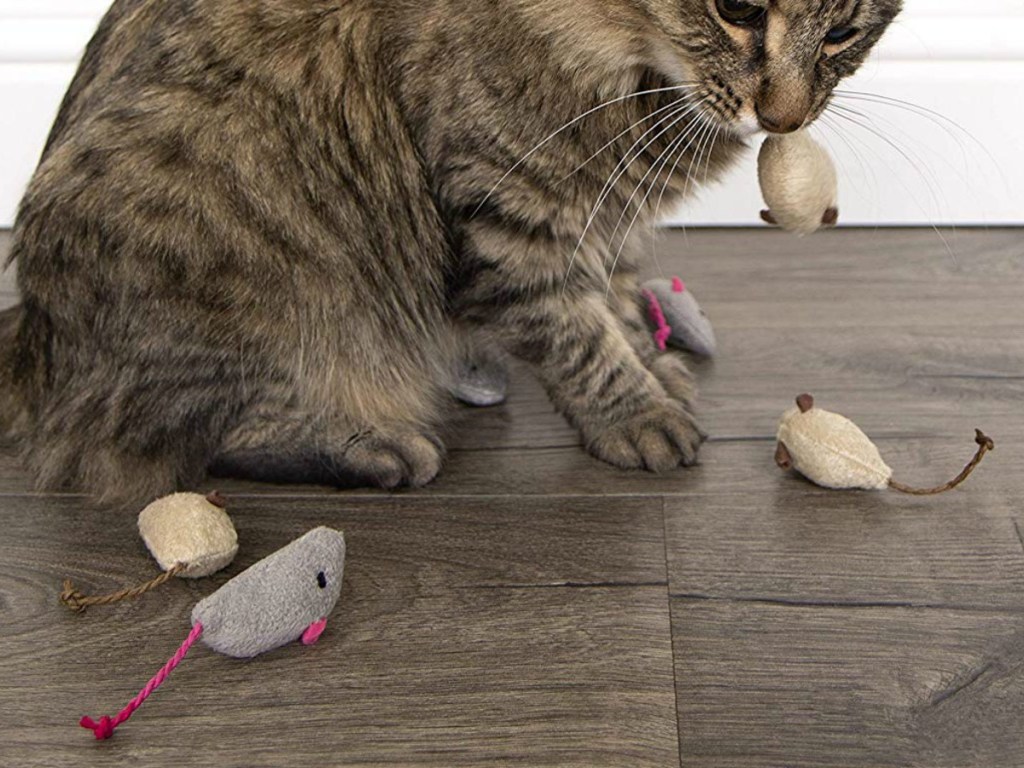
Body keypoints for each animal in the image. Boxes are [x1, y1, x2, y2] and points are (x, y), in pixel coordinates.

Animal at [0, 0, 897, 501]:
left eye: (843, 32)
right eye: (737, 8)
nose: (781, 117)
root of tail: (35, 349)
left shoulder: (596, 215)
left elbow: (610, 289)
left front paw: (650, 359)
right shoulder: (507, 221)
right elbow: (577, 337)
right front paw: (635, 413)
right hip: (264, 269)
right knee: (189, 438)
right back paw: (370, 447)